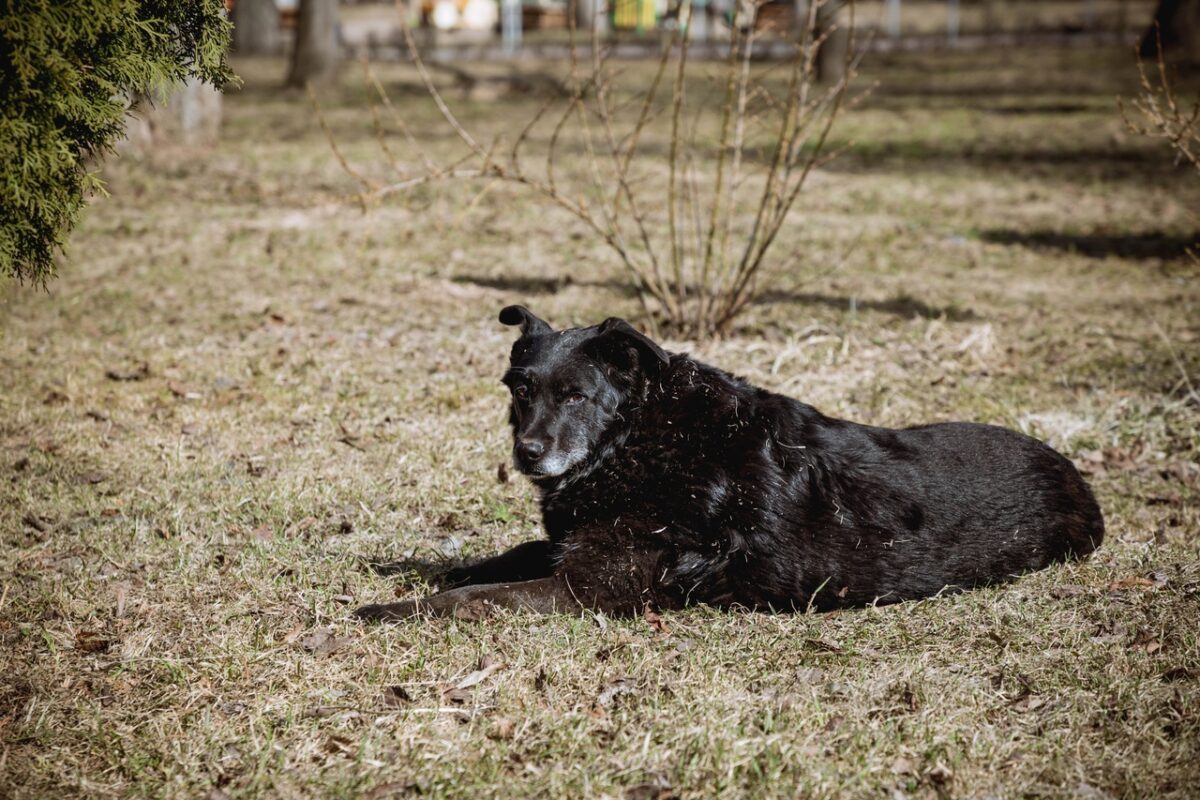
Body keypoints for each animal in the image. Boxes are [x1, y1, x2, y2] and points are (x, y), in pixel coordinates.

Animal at [350, 303, 1099, 623]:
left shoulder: (587, 588)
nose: (527, 453)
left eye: (577, 395)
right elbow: (504, 556)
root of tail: (1079, 481)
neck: (638, 438)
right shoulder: (572, 547)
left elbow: (472, 599)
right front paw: (437, 566)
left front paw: (389, 608)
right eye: (521, 390)